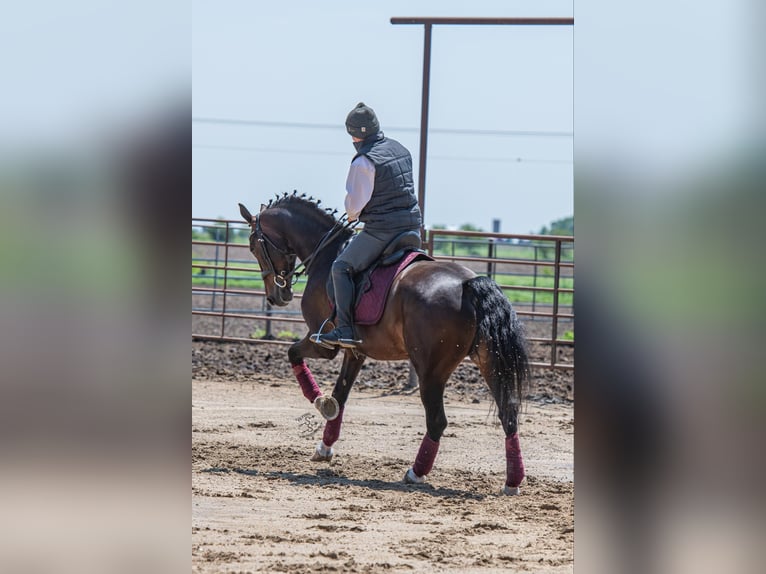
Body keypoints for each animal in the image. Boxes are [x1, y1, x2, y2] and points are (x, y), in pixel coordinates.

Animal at [239, 192, 530, 495]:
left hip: (431, 372)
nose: (276, 296)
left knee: (437, 421)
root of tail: (469, 284)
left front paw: (319, 400)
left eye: (253, 245)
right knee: (508, 414)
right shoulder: (355, 352)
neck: (327, 254)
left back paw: (416, 472)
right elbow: (340, 396)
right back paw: (512, 482)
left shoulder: (323, 343)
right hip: (489, 364)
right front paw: (325, 446)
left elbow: (293, 354)